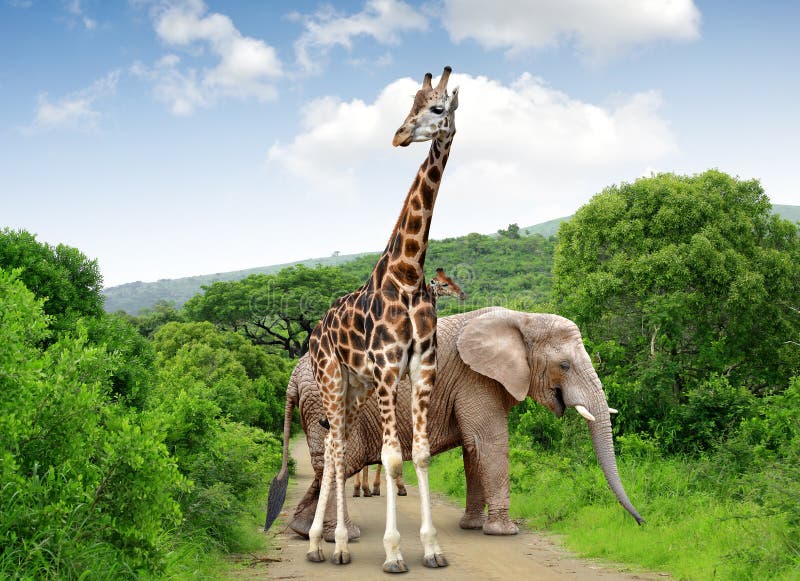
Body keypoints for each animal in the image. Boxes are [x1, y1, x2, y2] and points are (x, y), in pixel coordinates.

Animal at [267, 307, 643, 542]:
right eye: (564, 366)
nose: (641, 522)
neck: (522, 319)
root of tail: (292, 379)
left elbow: (473, 449)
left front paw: (473, 526)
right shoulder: (475, 377)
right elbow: (489, 442)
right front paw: (505, 532)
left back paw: (304, 531)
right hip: (330, 400)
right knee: (338, 462)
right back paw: (342, 536)